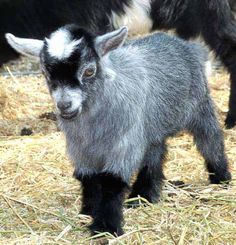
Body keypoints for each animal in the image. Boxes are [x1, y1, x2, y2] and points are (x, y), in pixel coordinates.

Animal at [5, 24, 230, 235]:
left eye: (89, 70)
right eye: (45, 72)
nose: (64, 105)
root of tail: (179, 41)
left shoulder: (124, 145)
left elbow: (112, 183)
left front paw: (105, 226)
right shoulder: (81, 150)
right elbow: (88, 181)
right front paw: (87, 212)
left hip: (200, 107)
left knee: (210, 140)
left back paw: (221, 178)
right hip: (150, 128)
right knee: (155, 154)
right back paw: (144, 196)